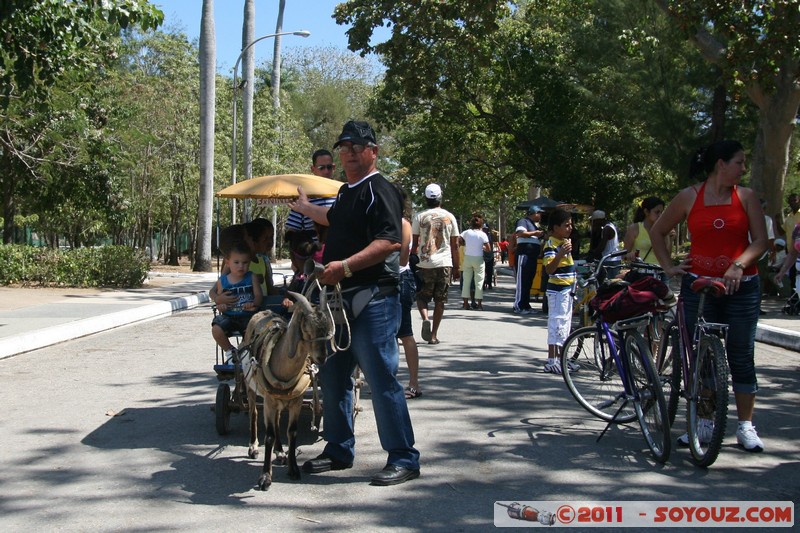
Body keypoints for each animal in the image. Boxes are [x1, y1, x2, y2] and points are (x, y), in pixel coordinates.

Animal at [242, 284, 332, 488]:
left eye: (328, 328)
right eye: (307, 328)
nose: (322, 357)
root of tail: (262, 312)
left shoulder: (296, 401)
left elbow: (292, 432)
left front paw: (293, 469)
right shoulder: (268, 400)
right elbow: (268, 435)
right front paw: (265, 477)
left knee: (276, 421)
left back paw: (280, 452)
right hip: (251, 388)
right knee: (253, 413)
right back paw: (253, 447)